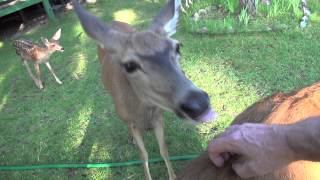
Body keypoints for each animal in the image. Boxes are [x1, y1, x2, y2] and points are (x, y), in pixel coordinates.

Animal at [73, 0, 218, 179]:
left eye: (177, 47)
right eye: (129, 65)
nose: (198, 103)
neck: (143, 111)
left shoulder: (159, 116)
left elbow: (164, 150)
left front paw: (173, 175)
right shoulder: (133, 122)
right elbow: (144, 156)